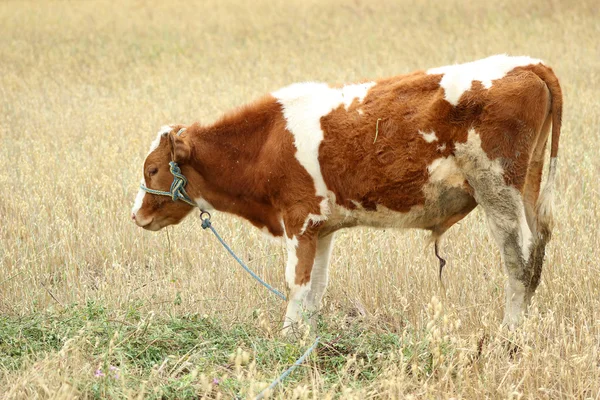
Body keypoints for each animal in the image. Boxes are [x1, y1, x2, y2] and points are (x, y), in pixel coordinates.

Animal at [131, 53, 564, 334]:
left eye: (152, 169)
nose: (137, 215)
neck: (266, 140)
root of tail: (527, 63)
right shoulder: (321, 229)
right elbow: (315, 290)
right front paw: (306, 340)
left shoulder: (299, 221)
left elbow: (296, 285)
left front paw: (287, 342)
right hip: (527, 186)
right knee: (536, 256)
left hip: (498, 192)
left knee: (518, 263)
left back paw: (509, 336)